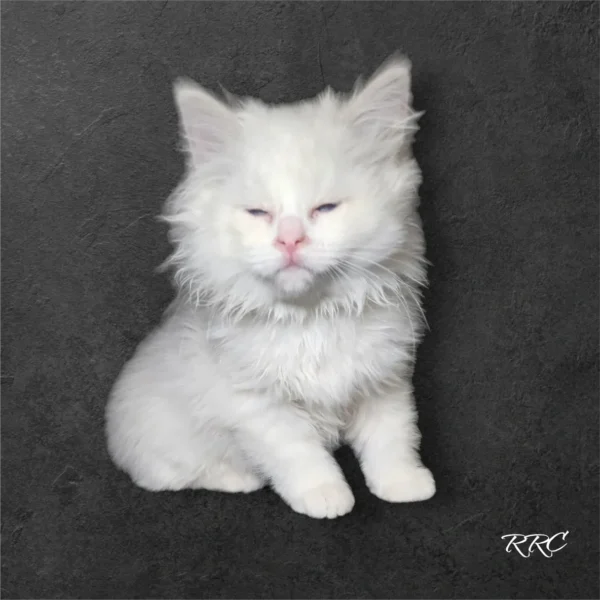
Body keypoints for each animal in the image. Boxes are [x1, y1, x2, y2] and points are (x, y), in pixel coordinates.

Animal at [105, 54, 436, 516]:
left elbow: (394, 437)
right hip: (166, 445)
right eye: (259, 213)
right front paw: (325, 496)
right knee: (170, 476)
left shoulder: (386, 381)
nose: (290, 240)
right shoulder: (257, 406)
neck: (311, 317)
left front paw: (403, 483)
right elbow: (299, 454)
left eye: (325, 208)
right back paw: (239, 479)